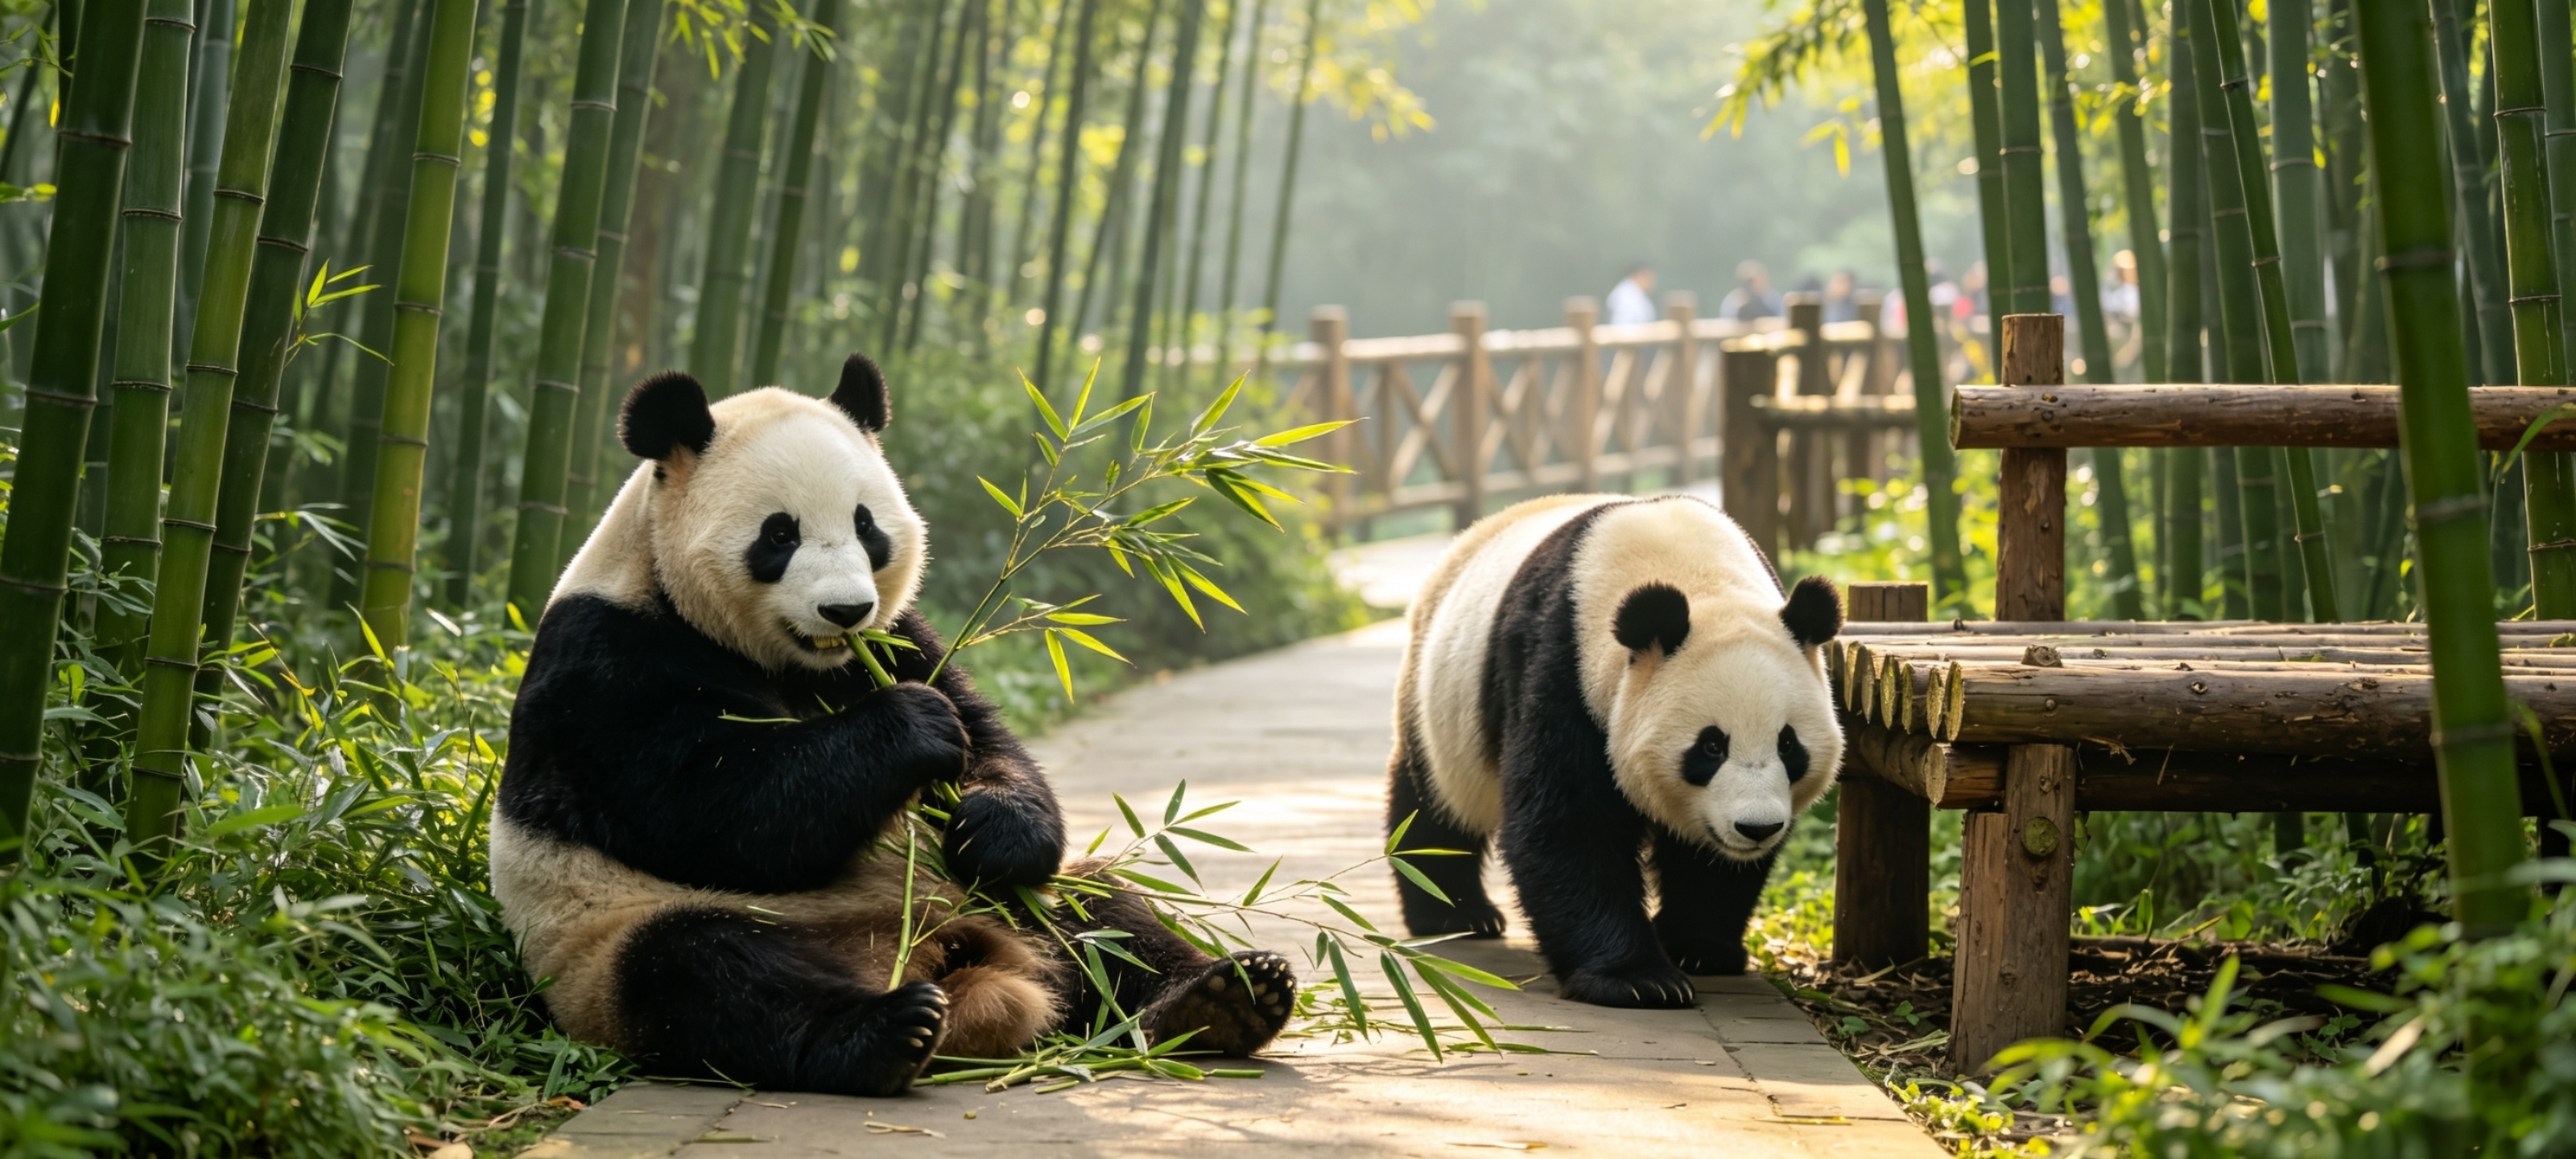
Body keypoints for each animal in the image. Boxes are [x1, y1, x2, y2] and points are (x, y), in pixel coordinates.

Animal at [490, 354, 1296, 1096]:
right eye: (778, 535)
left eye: (866, 525)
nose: (845, 610)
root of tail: (941, 958)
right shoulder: (606, 663)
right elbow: (709, 809)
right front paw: (910, 726)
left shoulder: (901, 636)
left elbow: (992, 743)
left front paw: (992, 825)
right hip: (608, 945)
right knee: (705, 972)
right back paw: (885, 1033)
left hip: (1011, 906)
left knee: (1101, 914)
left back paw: (1222, 999)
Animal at [1383, 494, 1843, 1009]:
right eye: (1710, 746)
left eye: (1788, 744)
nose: (1757, 828)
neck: (1693, 575)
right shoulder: (1564, 667)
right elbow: (1569, 822)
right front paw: (1638, 980)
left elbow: (1708, 863)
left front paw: (1699, 949)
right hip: (1440, 707)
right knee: (1432, 808)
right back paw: (1456, 916)